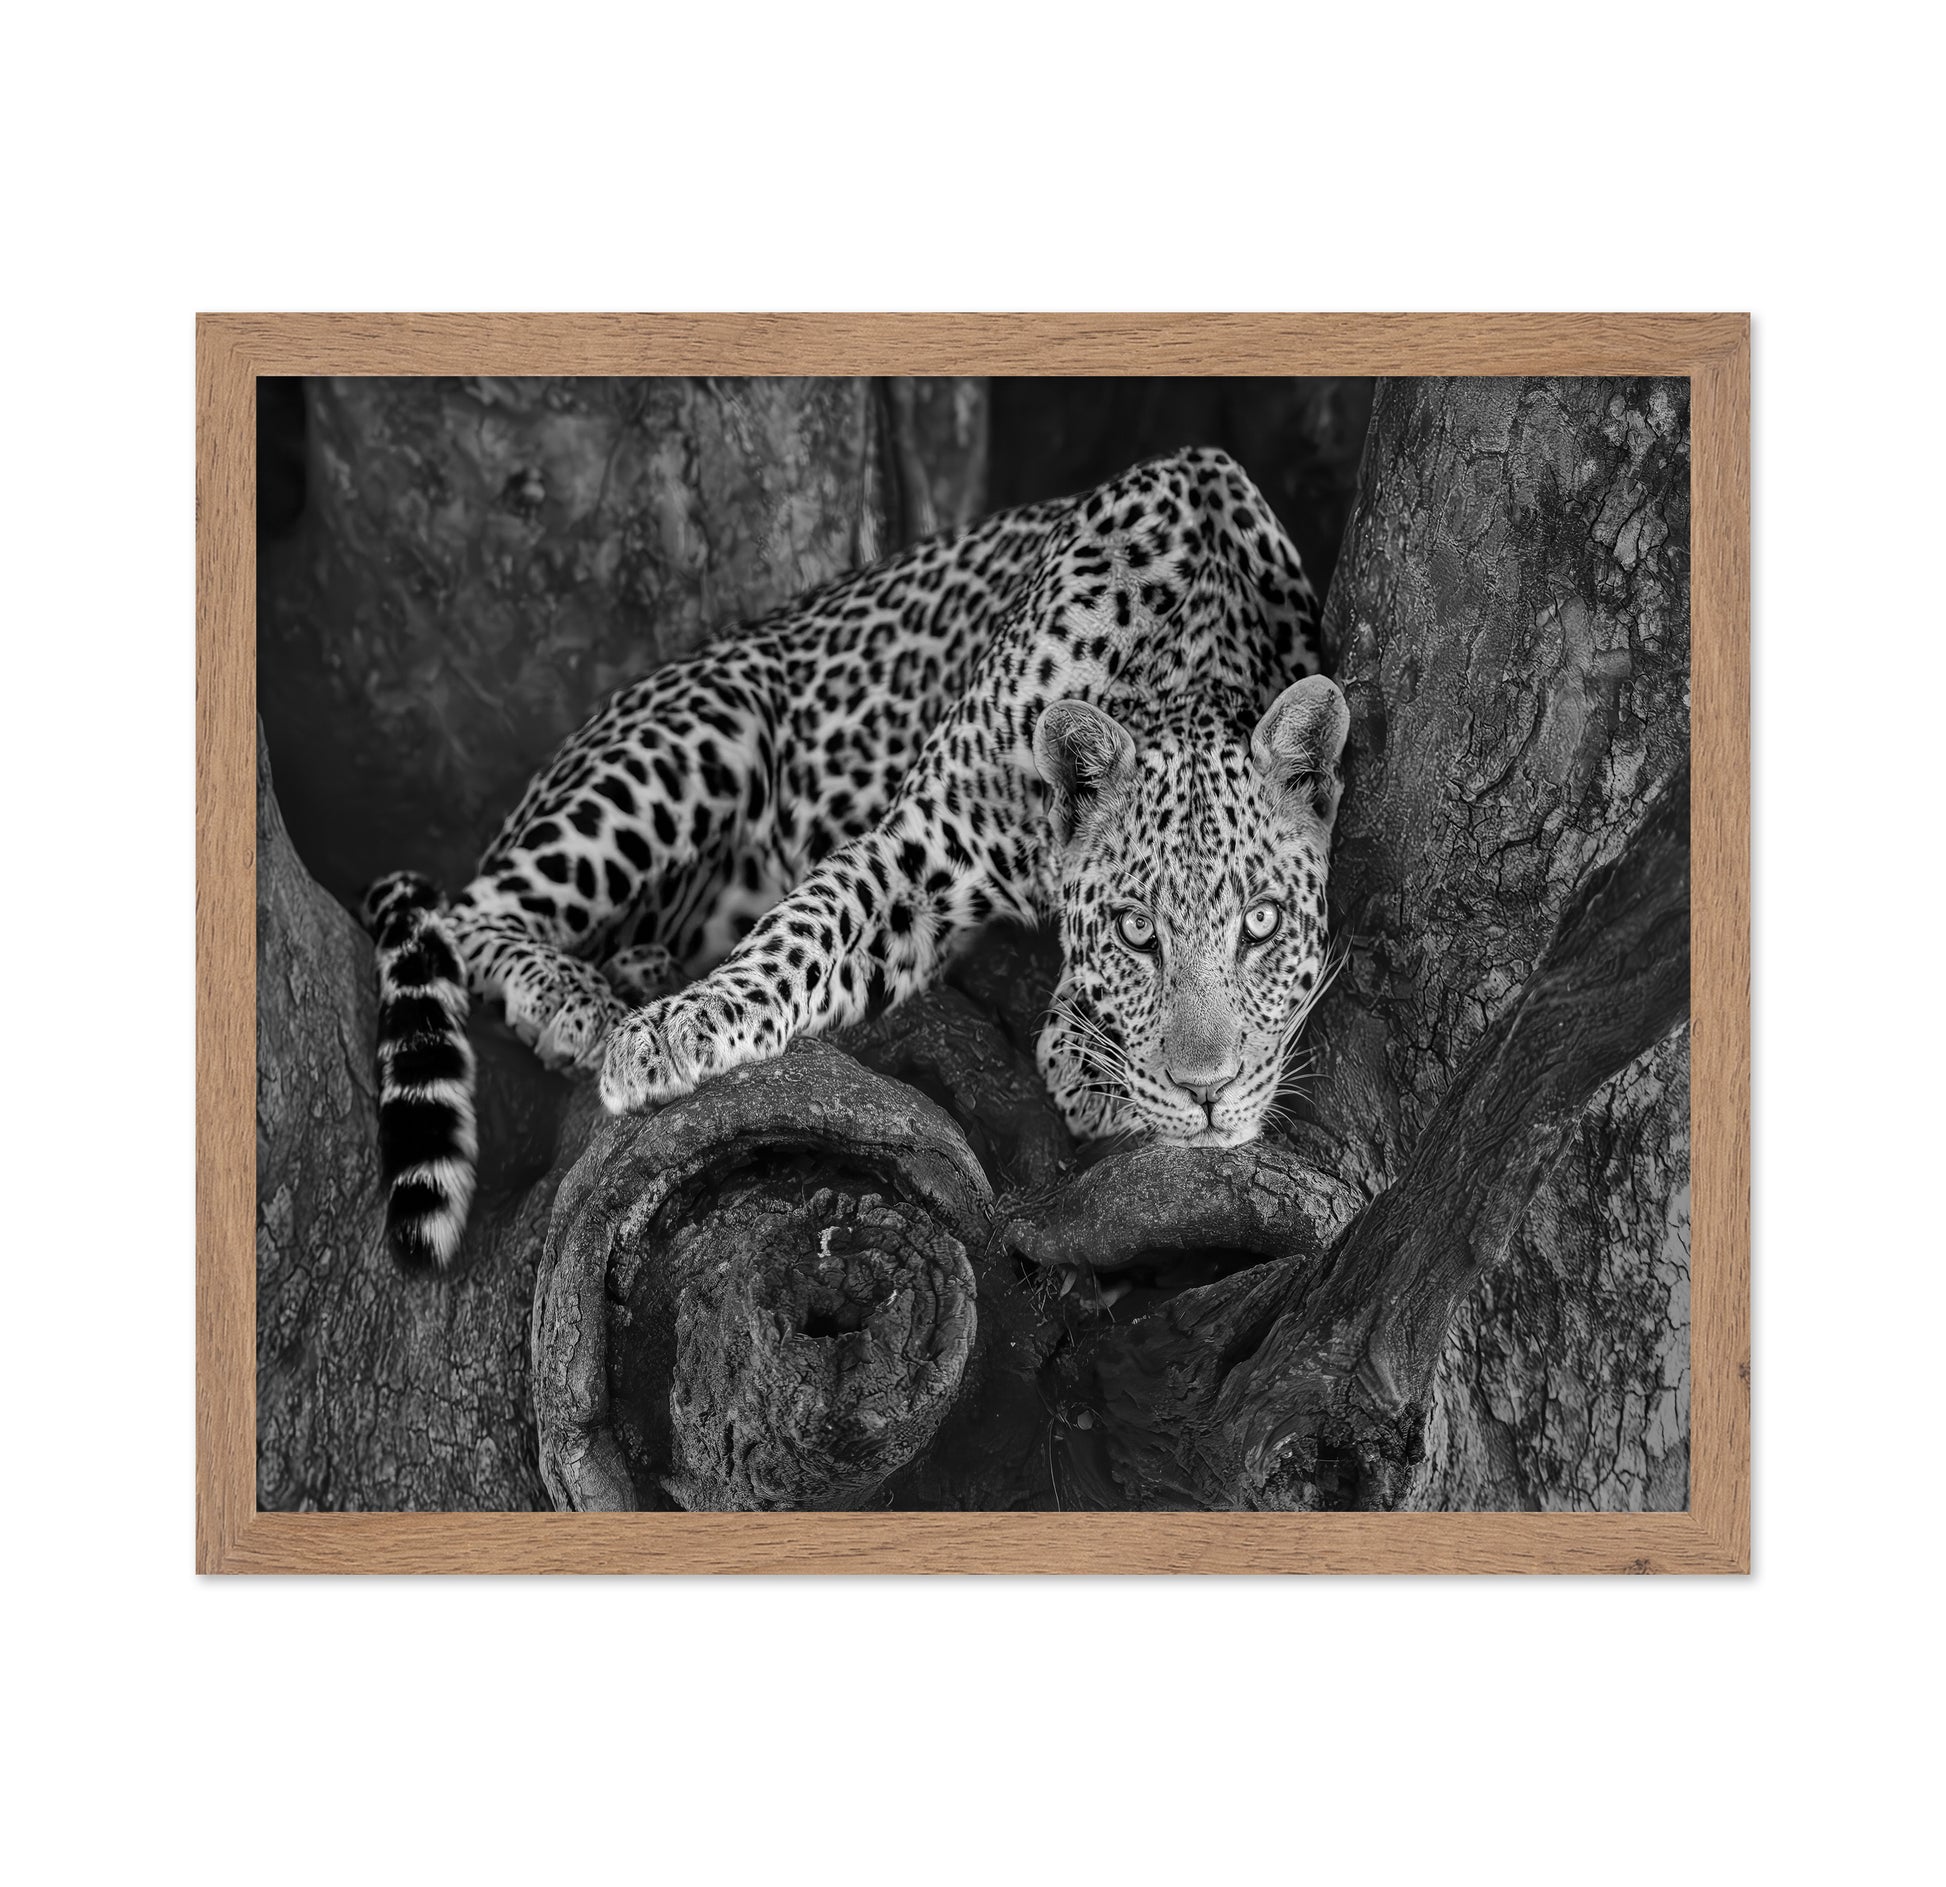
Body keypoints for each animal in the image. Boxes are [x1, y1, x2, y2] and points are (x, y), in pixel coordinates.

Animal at [363, 447, 1350, 1270]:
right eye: (1137, 932)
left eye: (1262, 924)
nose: (1209, 1093)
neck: (1184, 653)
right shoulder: (918, 844)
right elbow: (800, 928)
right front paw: (675, 1032)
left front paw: (1087, 1052)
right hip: (700, 732)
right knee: (463, 911)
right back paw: (577, 1002)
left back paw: (637, 967)